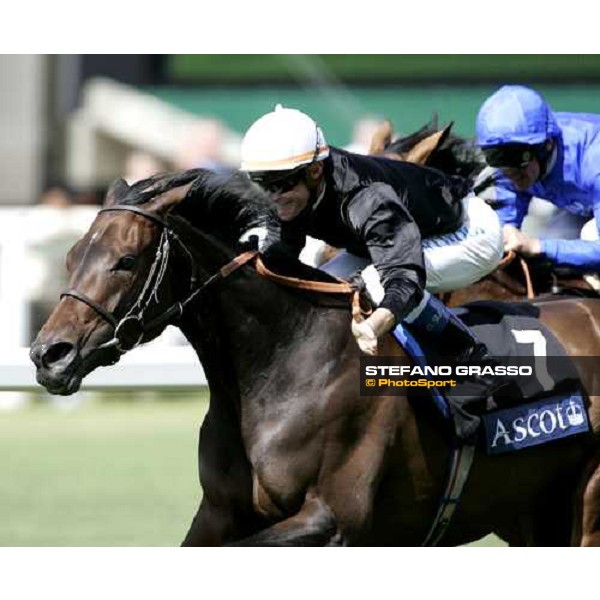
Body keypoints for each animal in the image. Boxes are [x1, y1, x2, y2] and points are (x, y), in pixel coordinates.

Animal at [29, 171, 600, 548]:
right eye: (72, 256)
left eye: (126, 261)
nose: (48, 354)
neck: (282, 364)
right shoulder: (217, 513)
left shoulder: (331, 519)